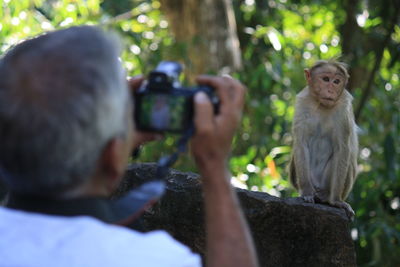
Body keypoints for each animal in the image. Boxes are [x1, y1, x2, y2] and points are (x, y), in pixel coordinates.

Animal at [290, 60, 358, 220]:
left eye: (337, 82)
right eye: (326, 79)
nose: (331, 90)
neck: (321, 105)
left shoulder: (343, 109)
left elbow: (342, 149)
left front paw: (336, 201)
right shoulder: (302, 103)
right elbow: (301, 144)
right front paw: (307, 193)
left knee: (348, 160)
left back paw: (327, 197)